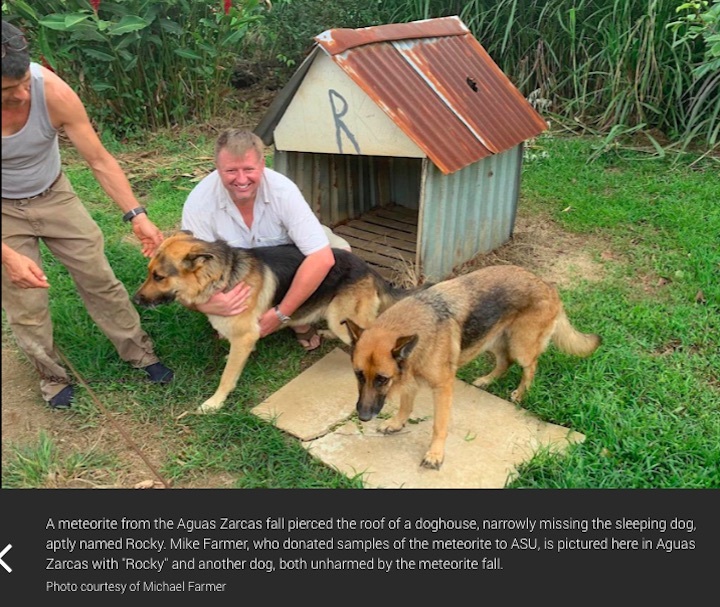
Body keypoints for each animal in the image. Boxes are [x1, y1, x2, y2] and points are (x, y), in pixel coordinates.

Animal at [135, 232, 414, 414]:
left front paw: (215, 402)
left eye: (158, 276)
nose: (136, 299)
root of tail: (370, 269)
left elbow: (227, 377)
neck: (222, 276)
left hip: (339, 317)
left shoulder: (245, 336)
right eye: (149, 272)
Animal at [340, 264, 600, 470]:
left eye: (382, 379)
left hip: (520, 346)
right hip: (491, 341)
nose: (363, 417)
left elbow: (439, 425)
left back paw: (520, 393)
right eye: (358, 375)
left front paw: (435, 454)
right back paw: (487, 380)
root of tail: (547, 285)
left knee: (530, 366)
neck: (418, 328)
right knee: (504, 361)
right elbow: (406, 404)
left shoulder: (442, 388)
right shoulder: (410, 376)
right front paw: (397, 423)